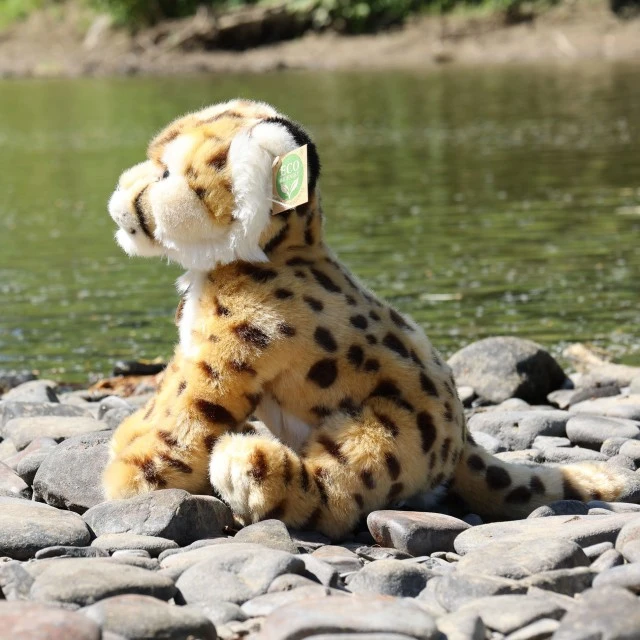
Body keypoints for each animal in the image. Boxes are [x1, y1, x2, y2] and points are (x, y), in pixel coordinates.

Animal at [104, 98, 638, 539]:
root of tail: (462, 441)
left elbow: (186, 414)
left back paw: (251, 467)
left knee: (330, 497)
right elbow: (165, 398)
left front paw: (131, 477)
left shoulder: (227, 351)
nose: (119, 190)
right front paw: (129, 438)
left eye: (166, 173)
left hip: (378, 436)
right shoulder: (190, 348)